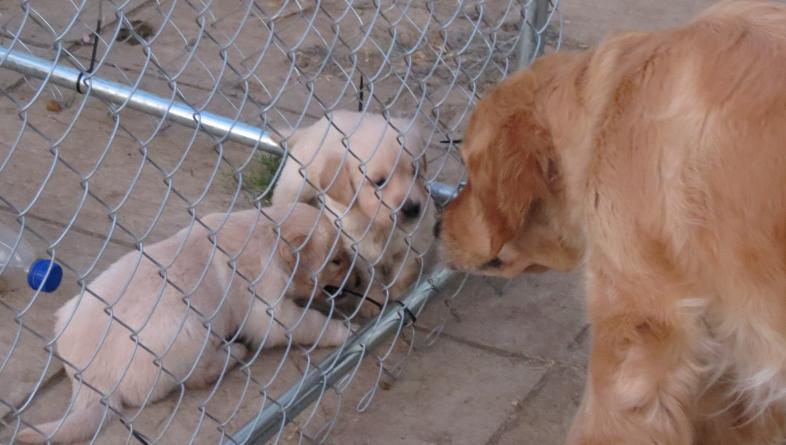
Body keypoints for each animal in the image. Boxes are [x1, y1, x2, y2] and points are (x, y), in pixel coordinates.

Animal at [16, 203, 354, 442]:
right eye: (336, 261)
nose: (361, 278)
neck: (268, 233)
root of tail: (92, 380)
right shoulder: (270, 311)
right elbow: (307, 322)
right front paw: (342, 330)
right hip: (190, 330)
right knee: (195, 377)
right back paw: (233, 353)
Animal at [272, 109, 434, 314]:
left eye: (416, 172)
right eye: (379, 182)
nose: (413, 208)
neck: (380, 227)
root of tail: (309, 130)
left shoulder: (417, 238)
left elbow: (405, 268)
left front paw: (399, 292)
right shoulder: (358, 250)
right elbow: (371, 278)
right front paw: (372, 300)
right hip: (294, 186)